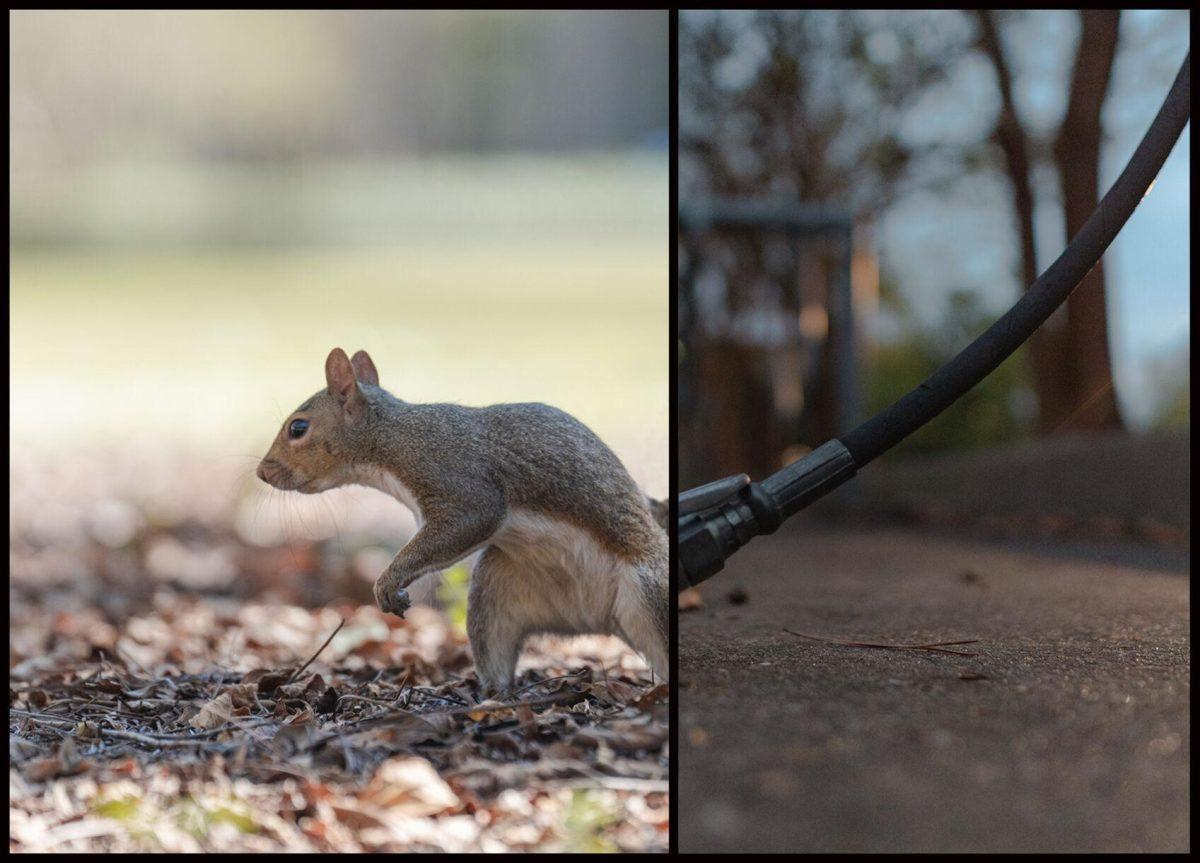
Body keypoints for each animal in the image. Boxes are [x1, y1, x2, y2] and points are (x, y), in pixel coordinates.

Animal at [258, 348, 672, 691]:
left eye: (298, 428)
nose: (262, 472)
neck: (392, 437)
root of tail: (594, 622)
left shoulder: (458, 482)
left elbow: (469, 519)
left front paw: (389, 580)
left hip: (649, 594)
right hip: (495, 595)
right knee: (496, 652)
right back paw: (491, 693)